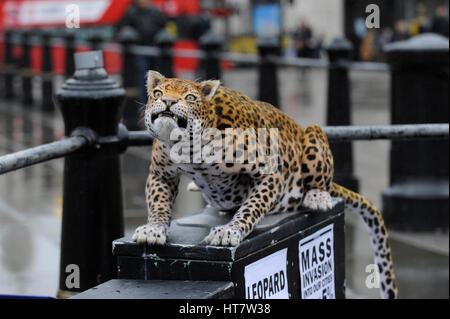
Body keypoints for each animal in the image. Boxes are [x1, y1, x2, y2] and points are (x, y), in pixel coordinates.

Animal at [131, 71, 398, 298]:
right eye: (158, 93)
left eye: (190, 97)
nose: (167, 102)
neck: (189, 149)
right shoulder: (160, 175)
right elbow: (158, 203)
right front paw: (153, 229)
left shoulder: (270, 173)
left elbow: (252, 207)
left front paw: (230, 231)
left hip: (313, 134)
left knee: (319, 177)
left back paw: (317, 196)